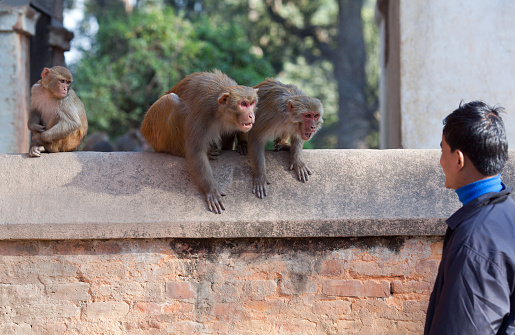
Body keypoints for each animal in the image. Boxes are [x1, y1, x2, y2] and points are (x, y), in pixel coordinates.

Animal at [140, 69, 258, 214]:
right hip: (154, 129)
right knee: (170, 100)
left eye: (251, 103)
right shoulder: (203, 111)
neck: (221, 111)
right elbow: (195, 150)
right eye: (243, 104)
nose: (251, 115)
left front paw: (243, 144)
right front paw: (211, 190)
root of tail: (144, 129)